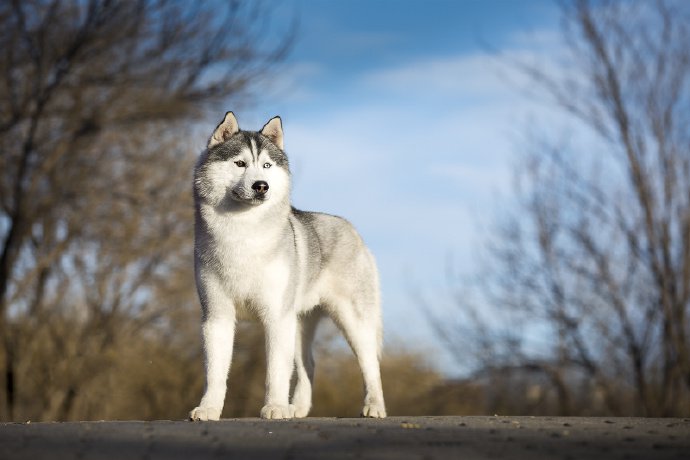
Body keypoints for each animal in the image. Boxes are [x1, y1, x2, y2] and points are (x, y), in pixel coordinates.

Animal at [189, 112, 388, 420]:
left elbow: (275, 371)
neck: (242, 234)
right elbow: (215, 373)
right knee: (309, 365)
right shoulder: (216, 315)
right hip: (298, 323)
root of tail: (350, 228)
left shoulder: (275, 316)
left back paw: (374, 406)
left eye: (267, 165)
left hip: (353, 321)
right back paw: (299, 408)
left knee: (370, 365)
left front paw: (274, 407)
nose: (261, 185)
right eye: (240, 163)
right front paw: (209, 408)